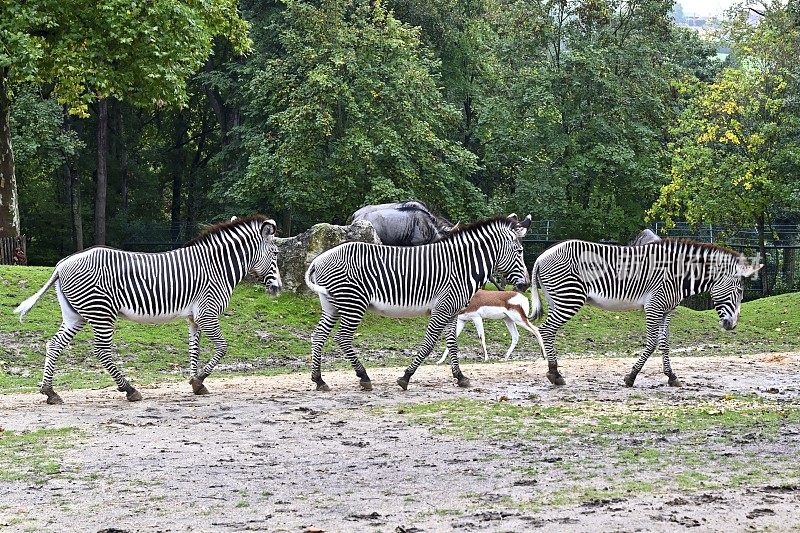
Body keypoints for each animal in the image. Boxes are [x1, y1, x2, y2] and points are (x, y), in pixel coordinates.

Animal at [13, 213, 284, 404]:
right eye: (276, 254)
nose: (278, 289)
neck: (217, 266)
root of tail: (61, 265)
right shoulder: (208, 313)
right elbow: (222, 348)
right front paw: (199, 380)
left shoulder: (195, 318)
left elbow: (194, 349)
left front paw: (195, 383)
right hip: (101, 312)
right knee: (101, 350)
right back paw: (129, 389)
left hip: (75, 314)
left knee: (54, 344)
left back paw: (50, 392)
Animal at [302, 213, 532, 390]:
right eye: (520, 252)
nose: (526, 285)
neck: (461, 266)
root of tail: (318, 260)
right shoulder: (442, 308)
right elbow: (429, 343)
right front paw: (405, 377)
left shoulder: (452, 311)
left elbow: (452, 344)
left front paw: (460, 377)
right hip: (353, 303)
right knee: (342, 337)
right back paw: (364, 377)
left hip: (332, 305)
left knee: (318, 335)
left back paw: (319, 380)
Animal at [532, 239, 764, 384]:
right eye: (740, 290)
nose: (732, 325)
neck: (678, 274)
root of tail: (541, 256)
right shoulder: (654, 307)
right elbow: (652, 343)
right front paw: (631, 376)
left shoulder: (667, 311)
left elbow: (665, 343)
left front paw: (671, 376)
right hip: (570, 298)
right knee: (546, 330)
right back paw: (554, 373)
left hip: (557, 299)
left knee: (548, 331)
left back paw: (554, 370)